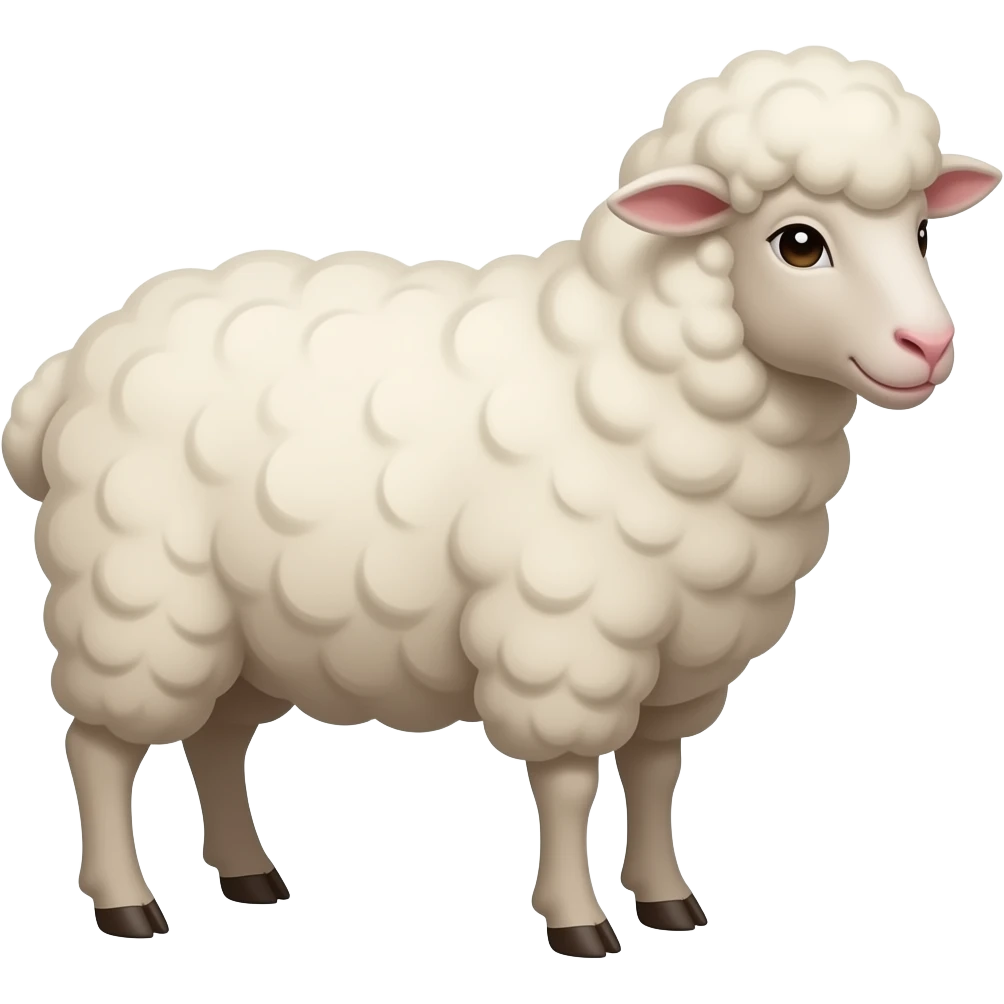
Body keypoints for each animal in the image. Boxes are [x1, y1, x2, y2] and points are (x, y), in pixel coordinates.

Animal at [3, 45, 999, 957]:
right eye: (798, 242)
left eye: (921, 233)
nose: (928, 345)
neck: (634, 365)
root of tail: (73, 363)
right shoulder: (566, 629)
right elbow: (568, 781)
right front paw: (579, 921)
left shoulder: (682, 646)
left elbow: (655, 769)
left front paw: (668, 899)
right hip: (135, 595)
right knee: (99, 746)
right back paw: (127, 904)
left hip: (245, 623)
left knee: (214, 738)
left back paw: (250, 875)